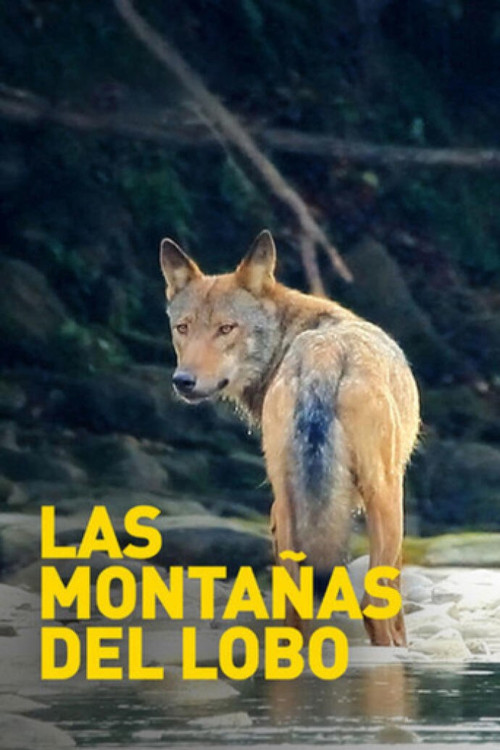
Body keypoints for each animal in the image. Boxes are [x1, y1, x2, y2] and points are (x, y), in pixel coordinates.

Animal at [160, 230, 420, 646]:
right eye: (183, 328)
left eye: (226, 329)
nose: (183, 381)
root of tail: (323, 357)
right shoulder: (394, 488)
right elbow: (396, 602)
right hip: (382, 496)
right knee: (372, 605)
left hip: (286, 501)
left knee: (295, 605)